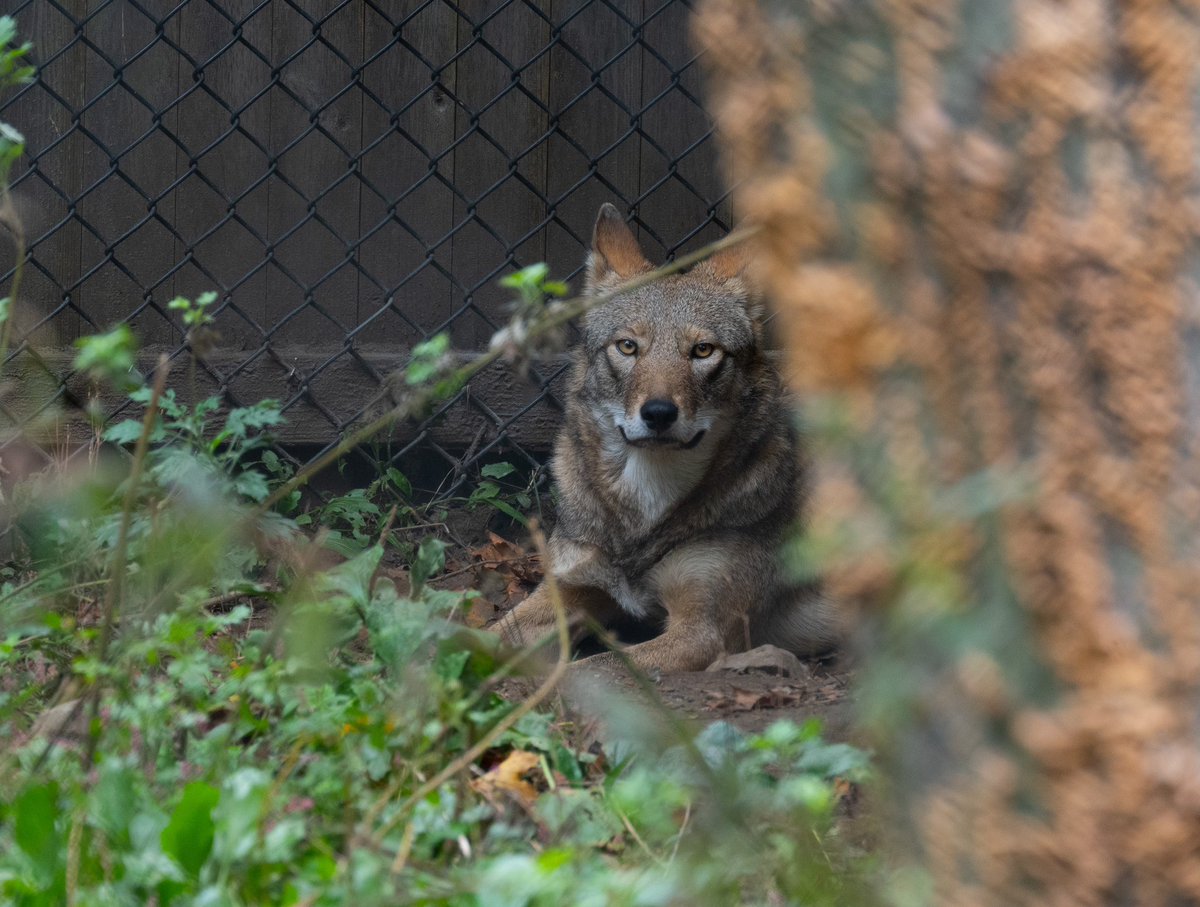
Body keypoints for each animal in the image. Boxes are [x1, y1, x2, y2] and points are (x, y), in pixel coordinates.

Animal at [497, 204, 838, 673]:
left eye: (703, 351)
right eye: (627, 346)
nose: (658, 413)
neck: (644, 513)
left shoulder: (702, 633)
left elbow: (588, 671)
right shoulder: (569, 588)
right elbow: (471, 635)